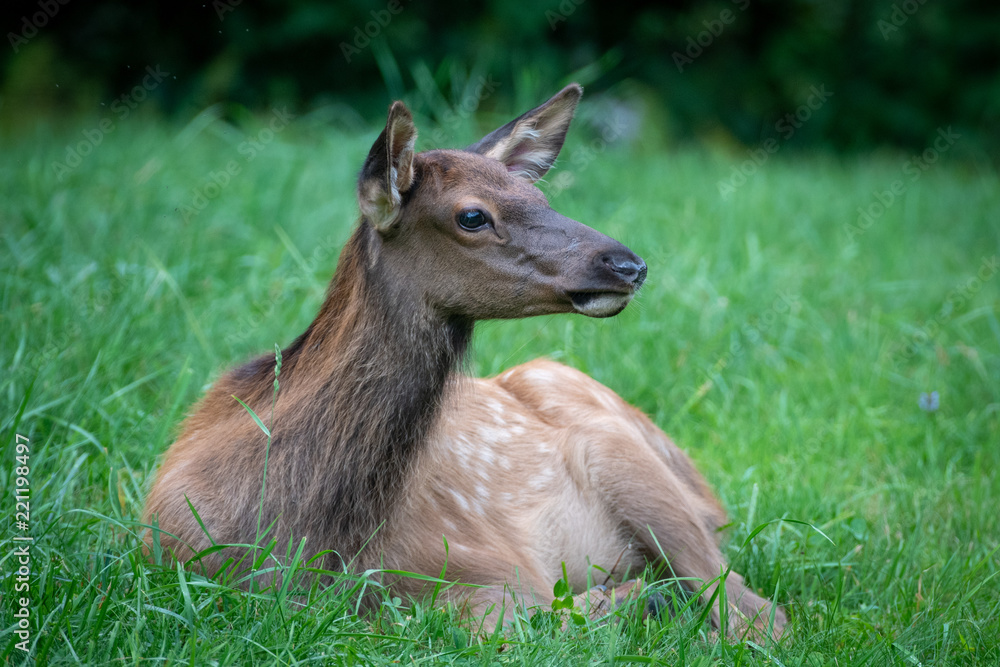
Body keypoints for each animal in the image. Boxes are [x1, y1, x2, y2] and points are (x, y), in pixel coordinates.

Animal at [143, 83, 787, 641]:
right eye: (471, 215)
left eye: (540, 197)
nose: (628, 264)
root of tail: (711, 499)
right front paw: (639, 602)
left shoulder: (497, 565)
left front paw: (639, 602)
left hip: (627, 460)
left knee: (761, 613)